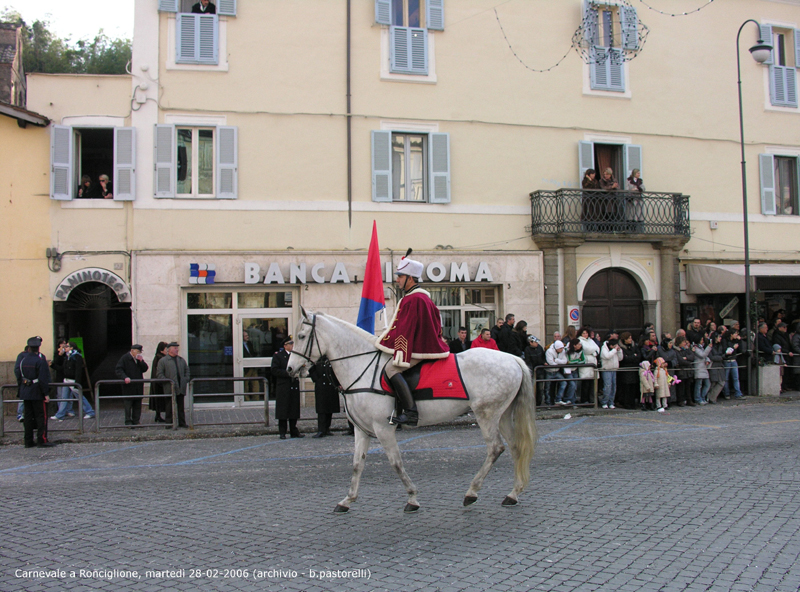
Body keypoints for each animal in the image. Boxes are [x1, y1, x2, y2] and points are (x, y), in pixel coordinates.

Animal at [288, 310, 536, 512]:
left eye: (301, 337)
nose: (290, 369)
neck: (362, 367)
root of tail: (513, 359)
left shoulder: (383, 428)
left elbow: (395, 462)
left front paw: (412, 498)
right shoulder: (362, 430)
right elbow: (358, 464)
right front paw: (347, 500)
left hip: (487, 414)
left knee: (495, 448)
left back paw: (472, 492)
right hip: (502, 415)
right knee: (515, 447)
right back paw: (513, 494)